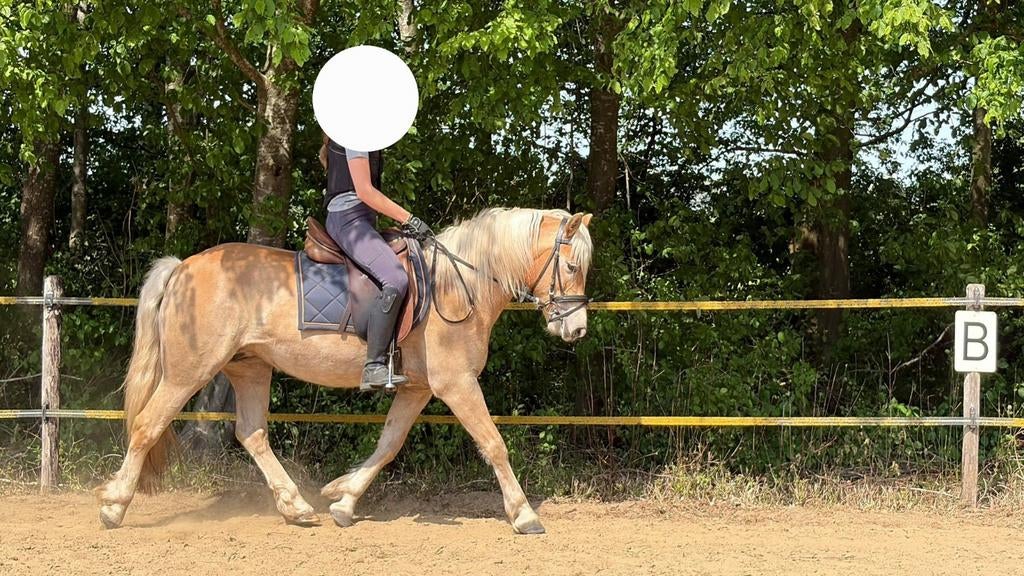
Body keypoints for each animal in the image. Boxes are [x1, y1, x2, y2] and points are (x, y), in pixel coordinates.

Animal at [97, 207, 593, 534]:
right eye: (571, 265)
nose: (577, 329)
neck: (458, 286)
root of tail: (182, 266)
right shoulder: (456, 384)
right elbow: (493, 444)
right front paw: (524, 514)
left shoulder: (417, 389)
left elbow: (388, 445)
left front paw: (343, 499)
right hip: (188, 371)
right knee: (148, 425)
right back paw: (114, 507)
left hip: (250, 368)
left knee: (252, 434)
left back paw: (296, 507)